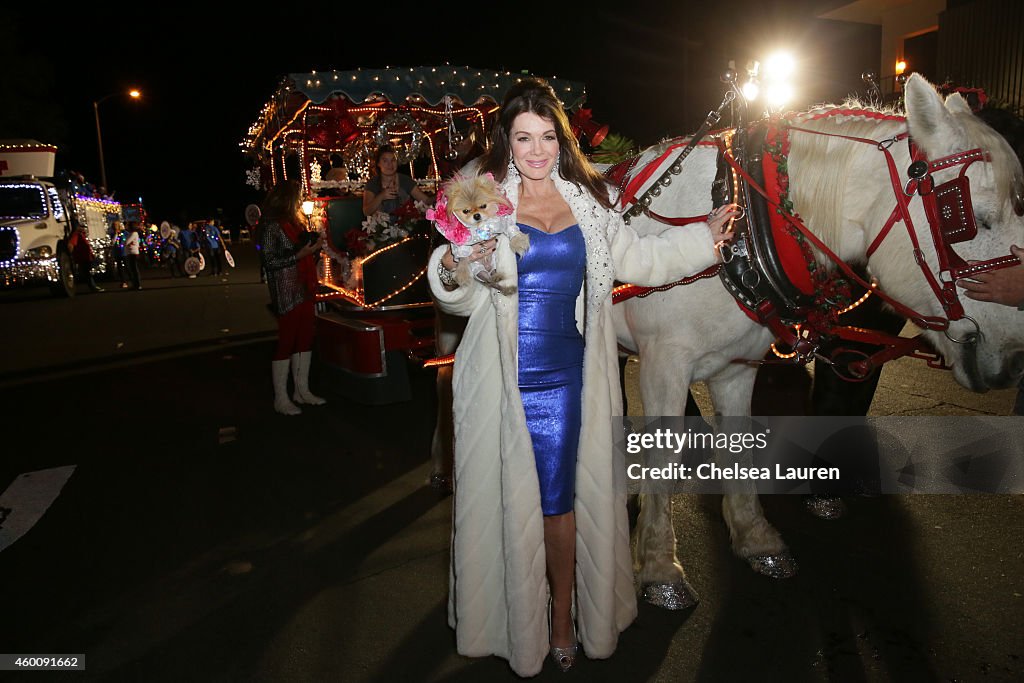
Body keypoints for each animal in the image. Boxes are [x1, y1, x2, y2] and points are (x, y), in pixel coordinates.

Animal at [614, 74, 1024, 606]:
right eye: (972, 216)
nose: (1016, 361)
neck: (744, 227)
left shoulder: (735, 367)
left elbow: (739, 445)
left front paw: (756, 540)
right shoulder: (664, 363)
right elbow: (662, 454)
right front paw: (660, 569)